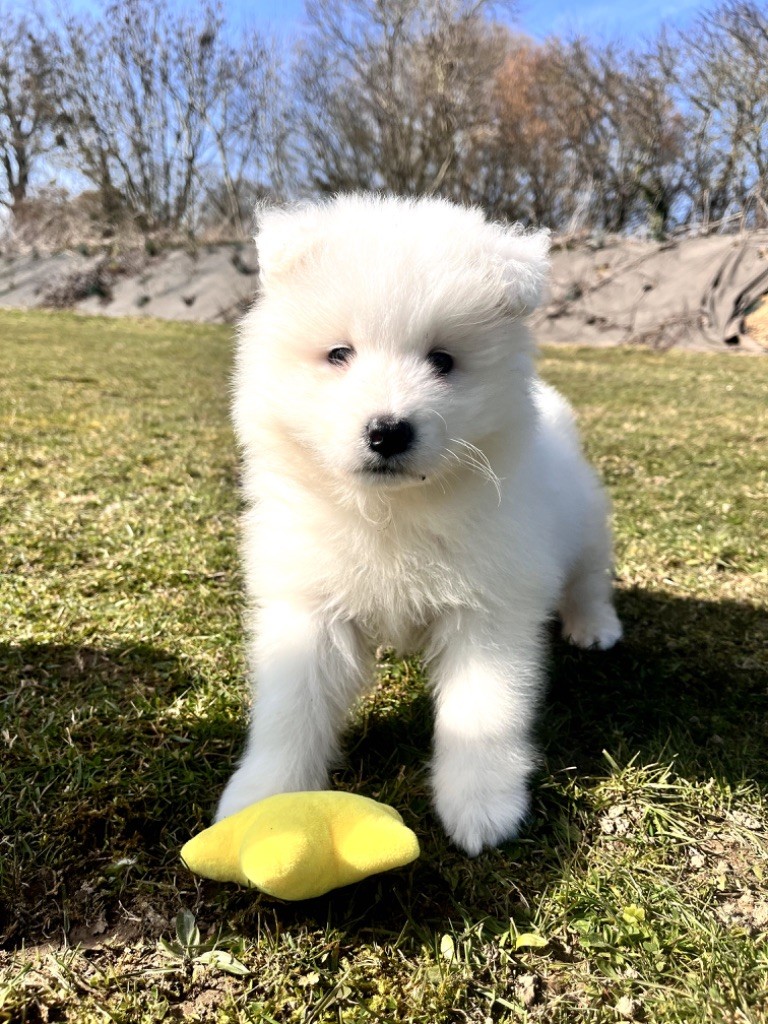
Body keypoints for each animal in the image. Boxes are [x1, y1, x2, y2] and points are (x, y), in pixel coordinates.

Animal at [214, 195, 622, 851]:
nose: (388, 431)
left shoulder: (489, 609)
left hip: (584, 525)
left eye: (443, 361)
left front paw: (481, 805)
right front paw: (264, 798)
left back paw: (594, 626)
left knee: (588, 578)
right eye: (339, 354)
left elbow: (483, 709)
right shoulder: (308, 609)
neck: (392, 512)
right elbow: (291, 710)